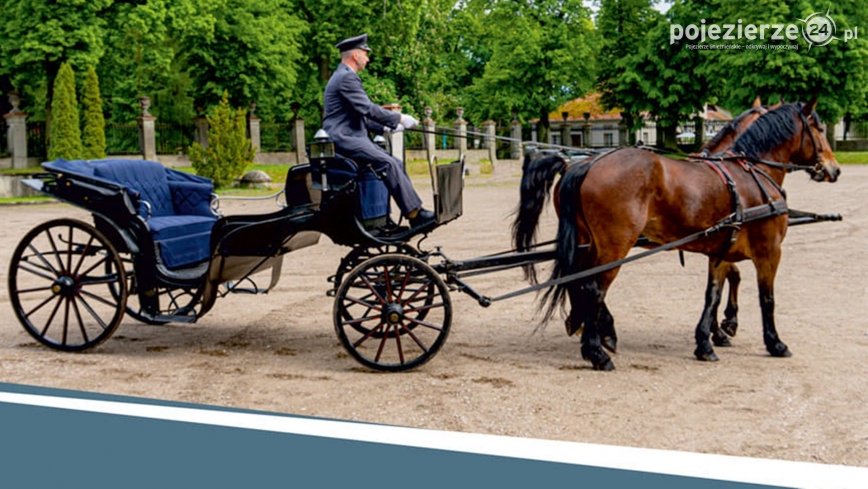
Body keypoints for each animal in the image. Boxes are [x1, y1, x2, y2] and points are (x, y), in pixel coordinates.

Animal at [544, 103, 836, 370]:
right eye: (819, 129)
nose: (834, 169)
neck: (752, 173)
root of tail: (588, 164)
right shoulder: (769, 251)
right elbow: (767, 298)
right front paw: (774, 342)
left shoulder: (721, 251)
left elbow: (713, 294)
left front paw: (707, 341)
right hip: (614, 248)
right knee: (593, 289)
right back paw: (597, 351)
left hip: (587, 244)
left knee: (578, 282)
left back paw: (586, 328)